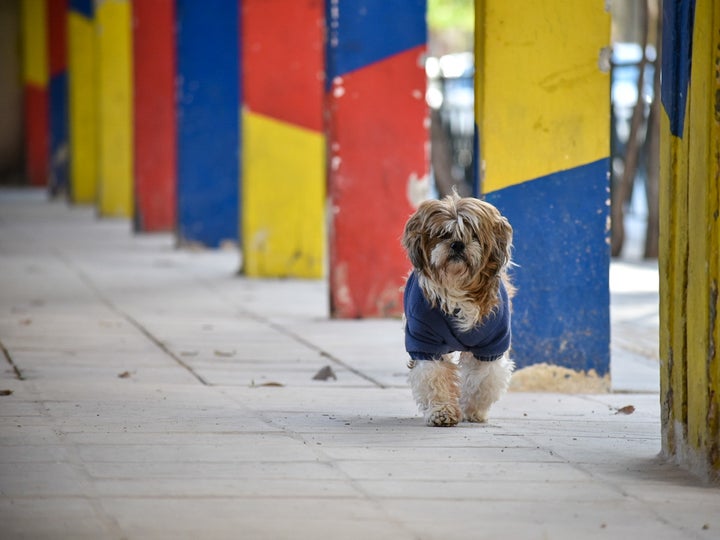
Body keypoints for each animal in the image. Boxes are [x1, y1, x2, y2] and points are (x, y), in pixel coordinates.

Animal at [402, 191, 516, 426]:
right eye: (443, 234)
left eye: (473, 234)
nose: (457, 244)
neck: (457, 286)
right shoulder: (425, 342)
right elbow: (434, 378)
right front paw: (442, 411)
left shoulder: (492, 345)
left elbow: (483, 380)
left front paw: (473, 410)